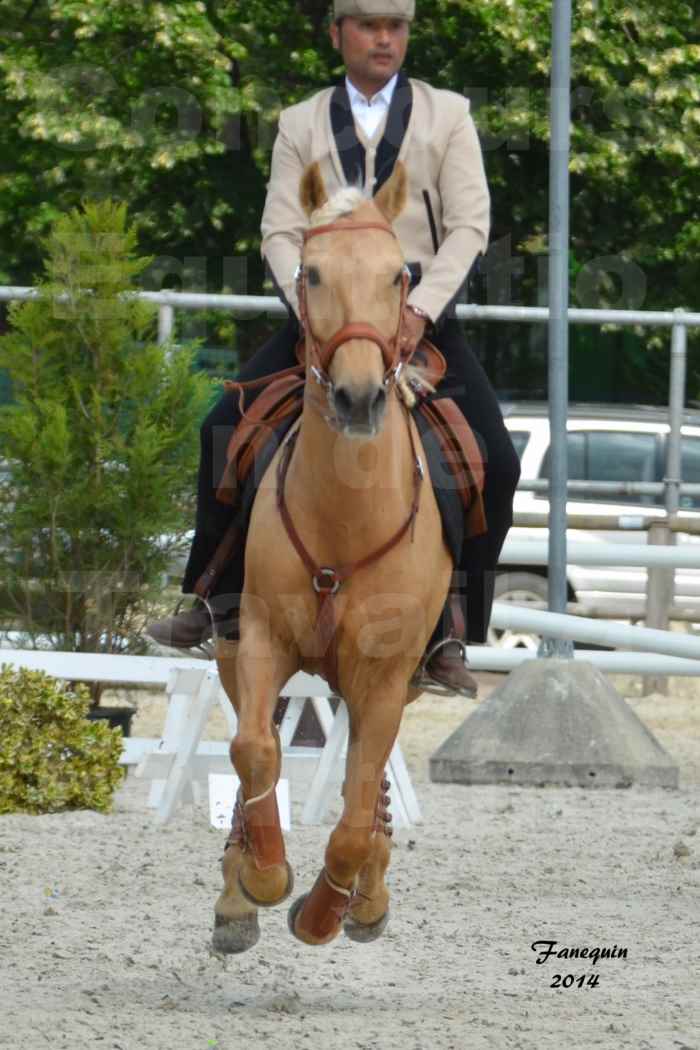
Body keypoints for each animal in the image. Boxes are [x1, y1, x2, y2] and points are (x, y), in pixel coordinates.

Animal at [214, 161, 455, 953]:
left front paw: (323, 911)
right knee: (252, 744)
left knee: (367, 790)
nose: (356, 398)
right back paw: (236, 893)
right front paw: (263, 879)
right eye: (312, 273)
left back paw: (367, 898)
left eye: (399, 276)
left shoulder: (383, 676)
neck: (345, 520)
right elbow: (254, 751)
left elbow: (353, 814)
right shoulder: (260, 639)